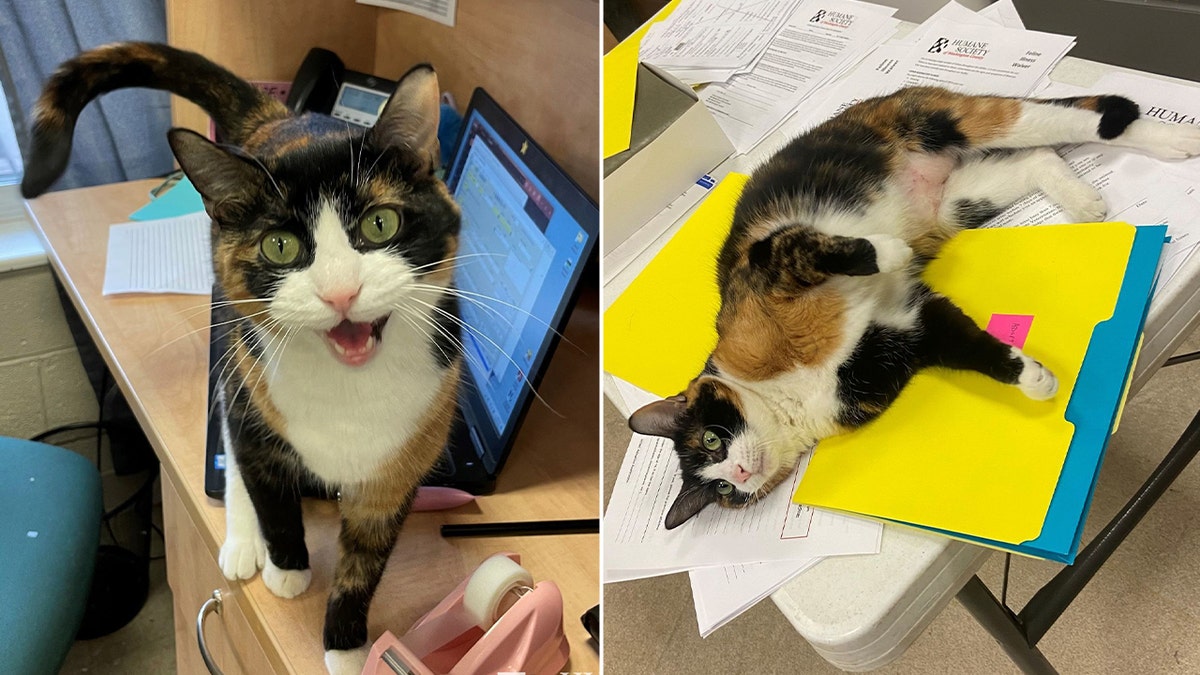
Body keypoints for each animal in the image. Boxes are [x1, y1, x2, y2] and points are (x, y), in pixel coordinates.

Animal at [24, 43, 463, 672]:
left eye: (381, 223)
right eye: (280, 245)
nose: (340, 293)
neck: (348, 387)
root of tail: (282, 119)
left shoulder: (403, 458)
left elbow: (366, 560)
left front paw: (347, 644)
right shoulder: (253, 411)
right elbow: (269, 494)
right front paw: (287, 569)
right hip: (235, 351)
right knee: (229, 443)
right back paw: (240, 542)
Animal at [628, 85, 1200, 526]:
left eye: (710, 441)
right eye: (721, 490)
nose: (739, 474)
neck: (788, 396)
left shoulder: (767, 270)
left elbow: (814, 247)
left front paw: (889, 252)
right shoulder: (902, 330)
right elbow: (970, 347)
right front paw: (1035, 379)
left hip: (938, 122)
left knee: (1078, 116)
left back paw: (1175, 138)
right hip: (960, 200)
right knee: (1039, 158)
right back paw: (1084, 200)